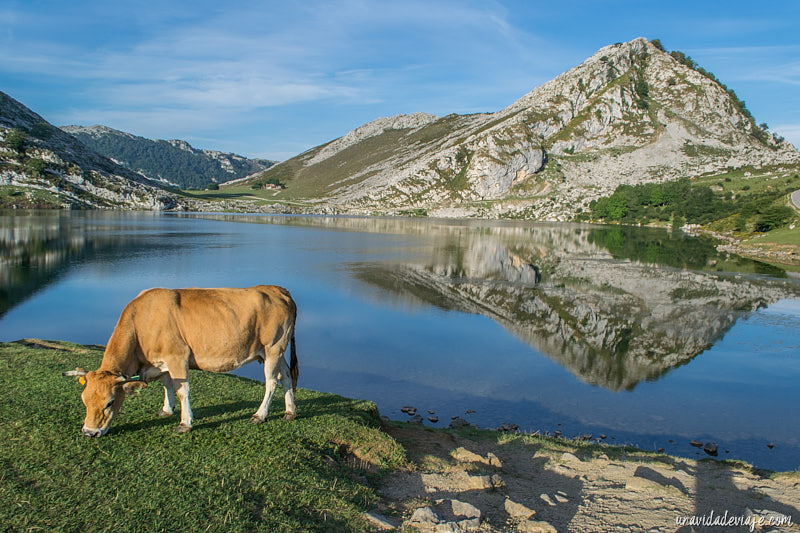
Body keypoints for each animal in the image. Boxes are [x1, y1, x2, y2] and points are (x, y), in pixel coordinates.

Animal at [62, 286, 298, 436]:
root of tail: (279, 289)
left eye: (110, 402)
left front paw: (185, 422)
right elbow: (167, 385)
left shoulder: (177, 357)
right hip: (274, 351)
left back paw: (260, 414)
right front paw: (167, 409)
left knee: (271, 381)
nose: (89, 432)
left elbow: (182, 390)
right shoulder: (162, 363)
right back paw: (290, 411)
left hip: (273, 347)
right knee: (286, 376)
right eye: (84, 400)